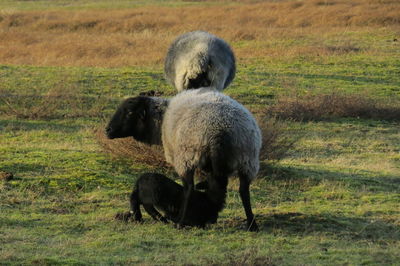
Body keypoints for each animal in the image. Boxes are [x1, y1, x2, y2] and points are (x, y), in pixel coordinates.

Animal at [106, 88, 262, 231]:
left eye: (129, 112)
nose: (108, 130)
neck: (161, 120)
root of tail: (220, 130)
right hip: (248, 161)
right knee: (244, 191)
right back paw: (251, 224)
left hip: (186, 158)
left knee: (188, 188)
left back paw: (180, 221)